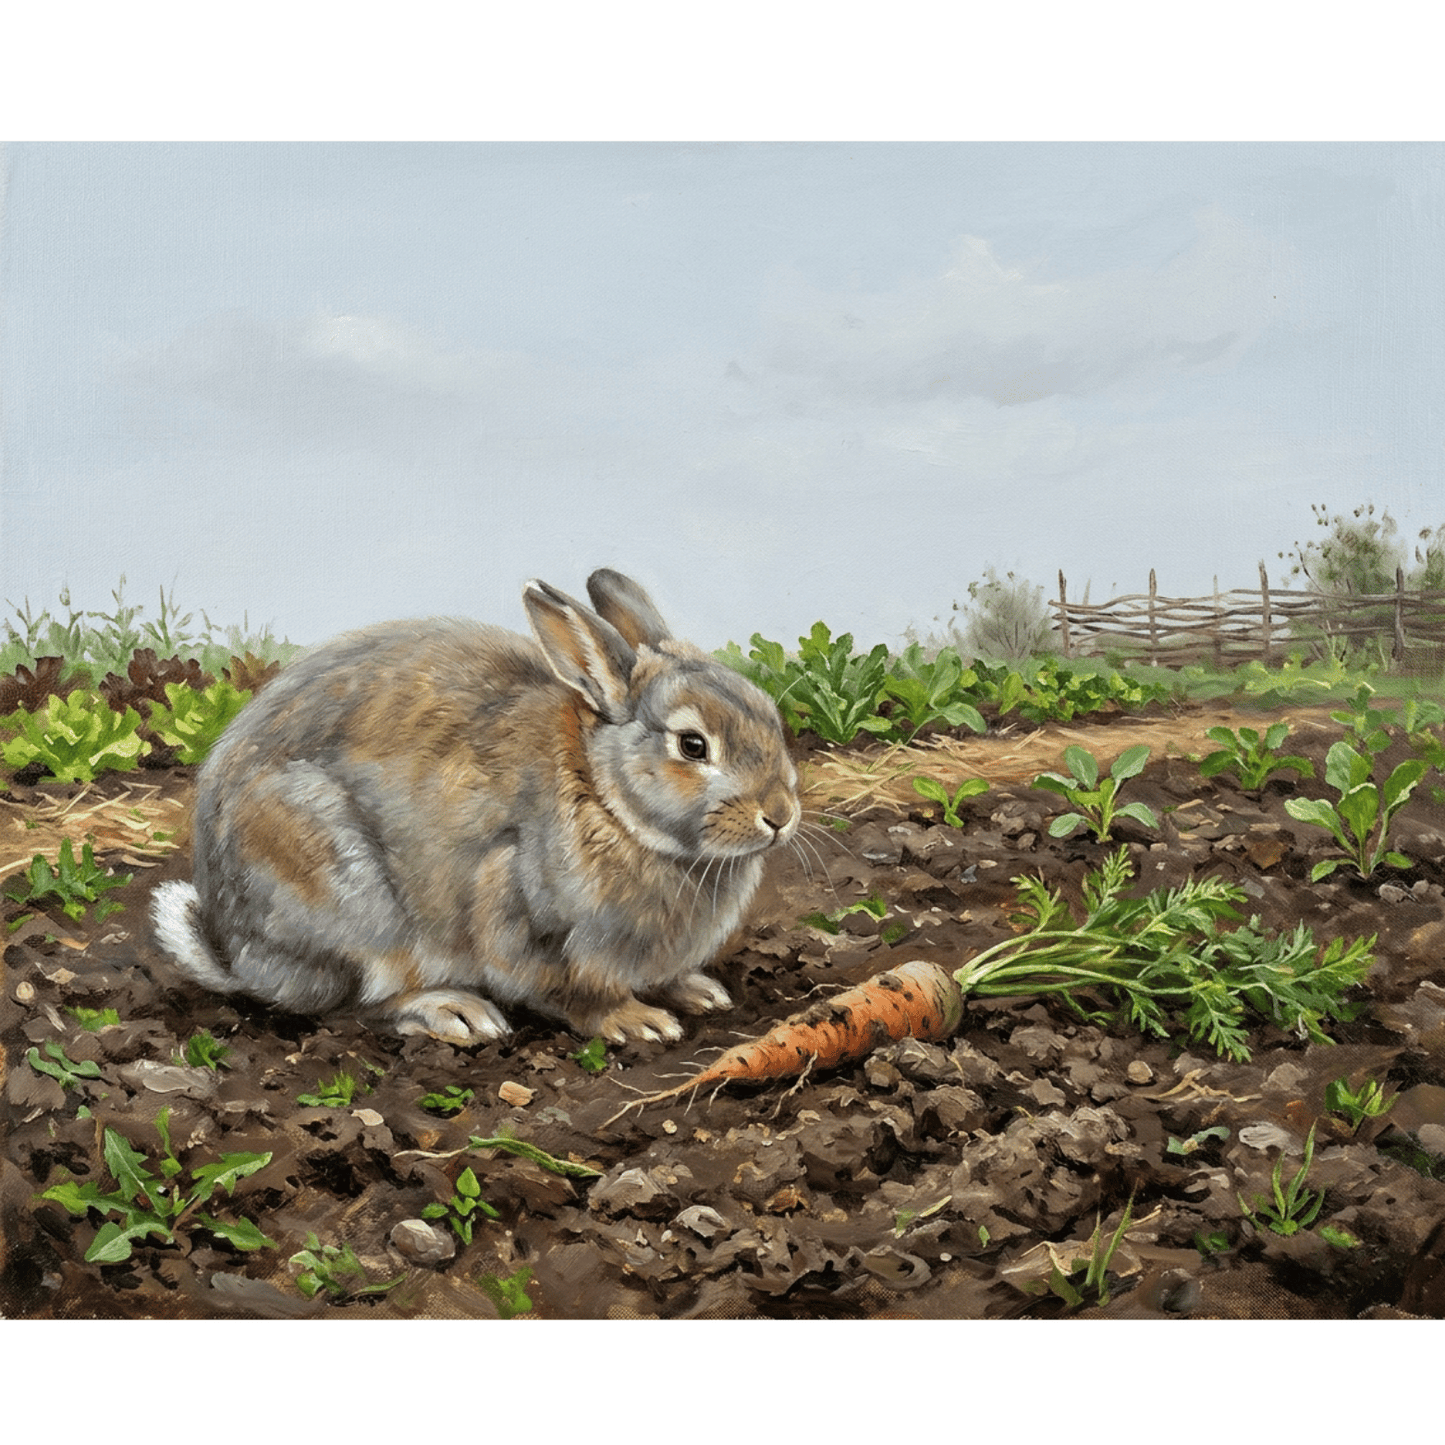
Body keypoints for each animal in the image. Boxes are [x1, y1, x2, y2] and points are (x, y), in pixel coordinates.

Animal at [150, 569, 801, 1046]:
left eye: (768, 714)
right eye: (692, 746)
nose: (780, 815)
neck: (606, 798)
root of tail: (236, 955)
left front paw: (697, 991)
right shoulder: (518, 910)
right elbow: (572, 992)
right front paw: (635, 1021)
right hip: (347, 896)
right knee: (358, 1000)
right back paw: (455, 1012)